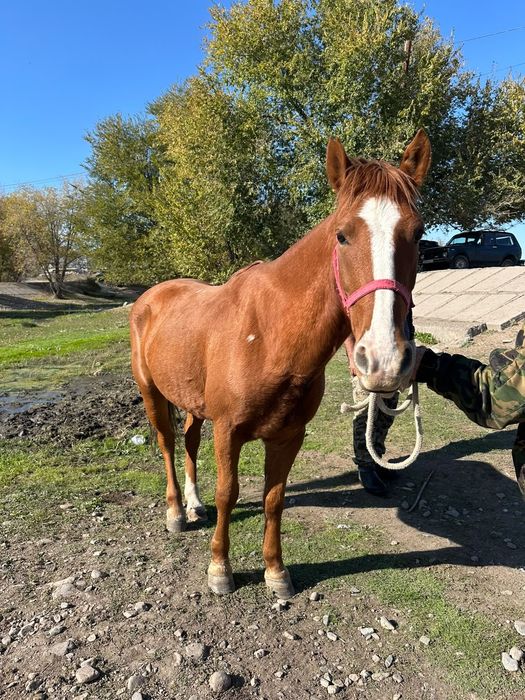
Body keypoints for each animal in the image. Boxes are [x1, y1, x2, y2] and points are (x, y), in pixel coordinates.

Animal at [130, 129, 431, 599]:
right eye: (342, 236)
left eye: (417, 234)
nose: (382, 358)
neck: (270, 334)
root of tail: (152, 295)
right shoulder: (228, 431)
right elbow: (229, 493)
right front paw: (220, 569)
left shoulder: (289, 435)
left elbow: (274, 499)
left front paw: (276, 571)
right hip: (152, 394)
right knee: (167, 444)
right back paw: (177, 513)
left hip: (194, 403)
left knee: (189, 442)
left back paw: (194, 504)